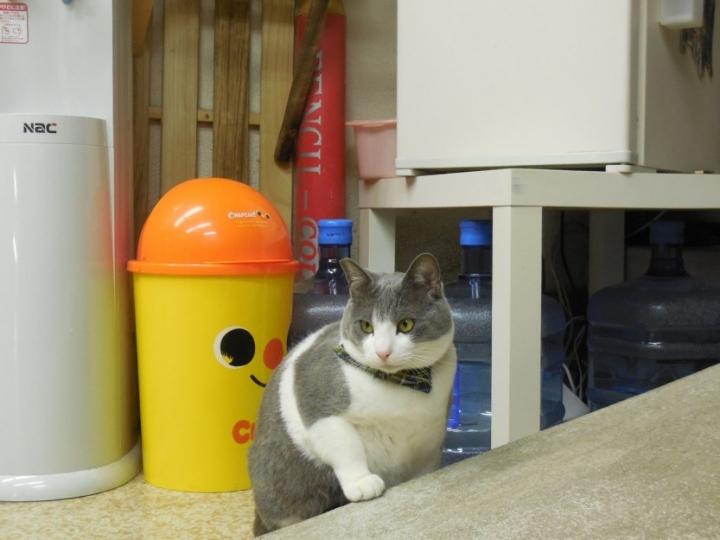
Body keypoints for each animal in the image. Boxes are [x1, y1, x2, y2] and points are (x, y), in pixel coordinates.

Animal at [248, 253, 457, 536]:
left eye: (406, 324)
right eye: (366, 326)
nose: (383, 352)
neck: (399, 382)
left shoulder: (430, 437)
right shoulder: (319, 405)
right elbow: (346, 446)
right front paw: (363, 483)